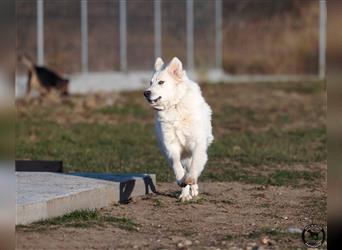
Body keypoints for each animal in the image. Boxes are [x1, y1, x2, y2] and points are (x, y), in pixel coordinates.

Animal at [144, 56, 214, 201]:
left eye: (161, 82)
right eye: (150, 82)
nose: (145, 93)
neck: (175, 106)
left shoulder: (197, 143)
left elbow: (195, 165)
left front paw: (191, 179)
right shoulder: (171, 145)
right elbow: (177, 165)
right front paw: (182, 181)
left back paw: (193, 188)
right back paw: (185, 194)